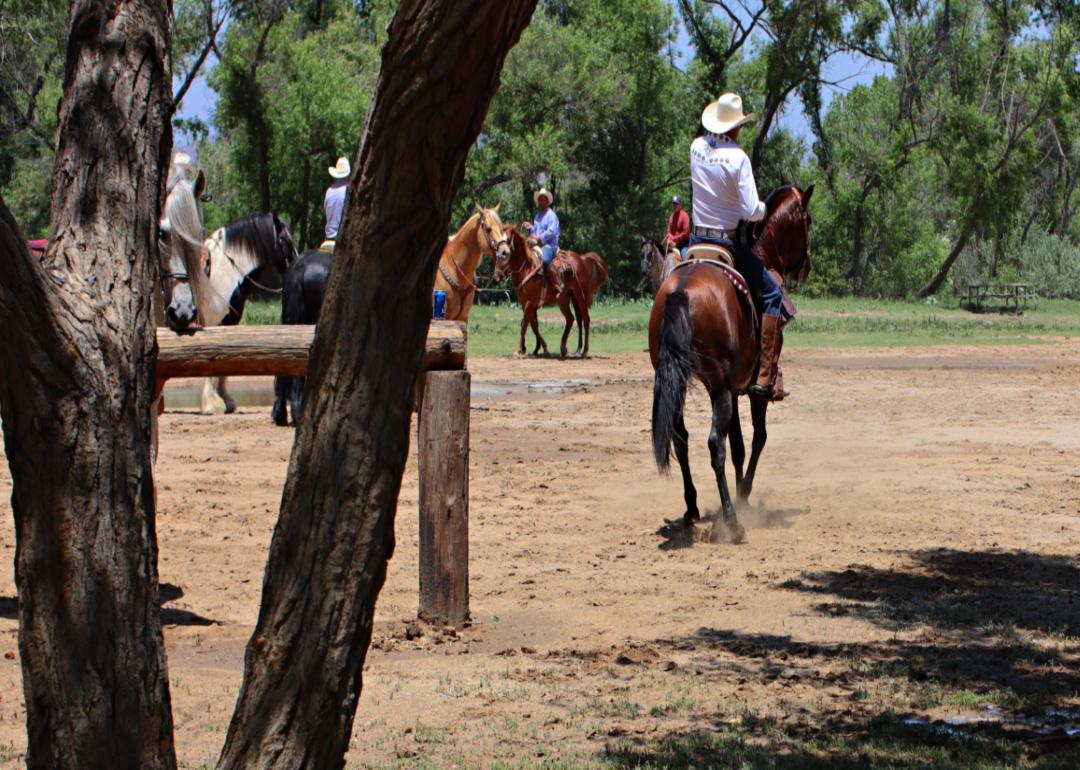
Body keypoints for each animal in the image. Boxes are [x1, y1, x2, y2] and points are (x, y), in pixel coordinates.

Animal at [198, 210, 298, 414]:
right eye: (284, 239)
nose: (297, 262)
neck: (224, 270)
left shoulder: (230, 322)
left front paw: (226, 400)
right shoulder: (214, 324)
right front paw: (212, 405)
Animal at [492, 227, 609, 356]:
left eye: (508, 239)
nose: (495, 277)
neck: (527, 269)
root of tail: (581, 259)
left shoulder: (529, 304)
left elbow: (524, 326)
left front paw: (519, 350)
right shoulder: (527, 305)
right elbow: (533, 326)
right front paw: (536, 348)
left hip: (580, 296)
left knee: (585, 319)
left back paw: (584, 351)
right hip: (564, 299)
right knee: (571, 318)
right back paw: (565, 348)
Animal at [643, 181, 812, 539]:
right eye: (808, 221)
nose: (806, 266)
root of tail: (682, 290)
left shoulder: (733, 388)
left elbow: (738, 446)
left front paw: (738, 492)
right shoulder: (749, 390)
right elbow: (756, 439)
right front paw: (744, 494)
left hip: (680, 380)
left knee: (681, 437)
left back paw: (692, 508)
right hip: (716, 387)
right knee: (713, 444)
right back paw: (733, 520)